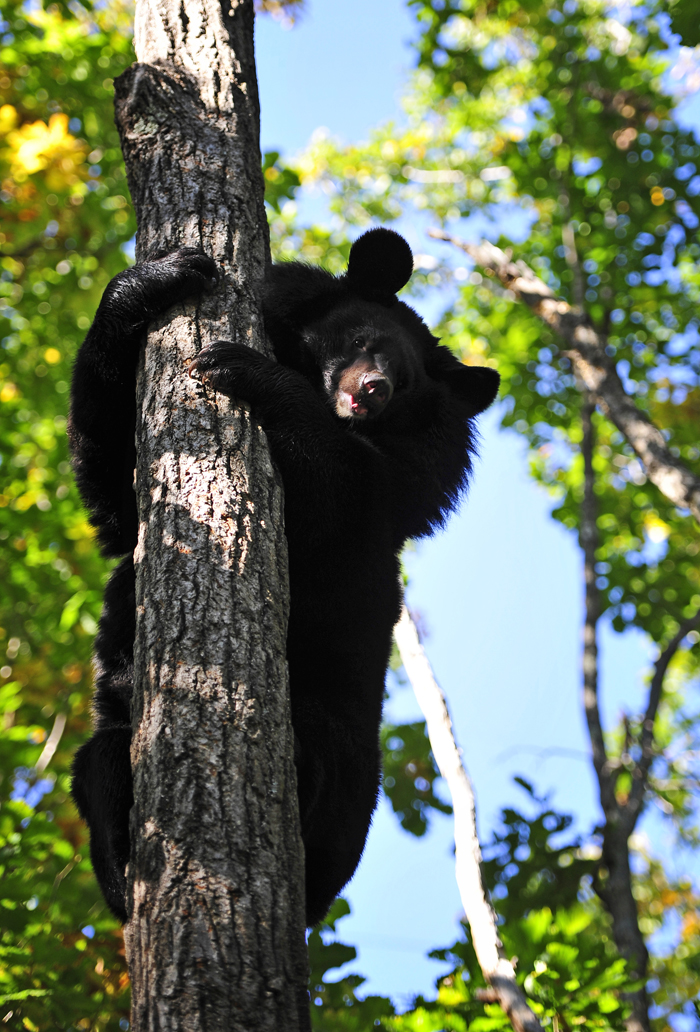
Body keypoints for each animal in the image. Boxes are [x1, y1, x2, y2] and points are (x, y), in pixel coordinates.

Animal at [68, 232, 501, 928]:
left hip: (334, 747)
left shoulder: (388, 501)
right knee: (99, 768)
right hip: (113, 742)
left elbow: (343, 489)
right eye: (361, 339)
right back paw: (120, 864)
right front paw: (159, 278)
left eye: (407, 384)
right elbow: (111, 478)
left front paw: (239, 366)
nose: (373, 389)